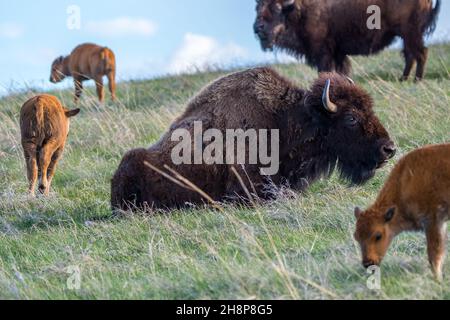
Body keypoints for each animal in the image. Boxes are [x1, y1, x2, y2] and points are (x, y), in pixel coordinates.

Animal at [255, 0, 442, 80]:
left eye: (276, 8)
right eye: (258, 8)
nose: (258, 27)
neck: (298, 9)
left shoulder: (323, 52)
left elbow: (325, 70)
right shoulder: (338, 53)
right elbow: (341, 70)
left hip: (410, 33)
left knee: (421, 53)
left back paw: (417, 80)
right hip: (405, 35)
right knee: (410, 55)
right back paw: (403, 78)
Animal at [356, 144, 450, 282]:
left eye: (378, 235)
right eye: (356, 237)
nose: (368, 263)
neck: (404, 182)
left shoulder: (433, 221)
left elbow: (434, 254)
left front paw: (437, 279)